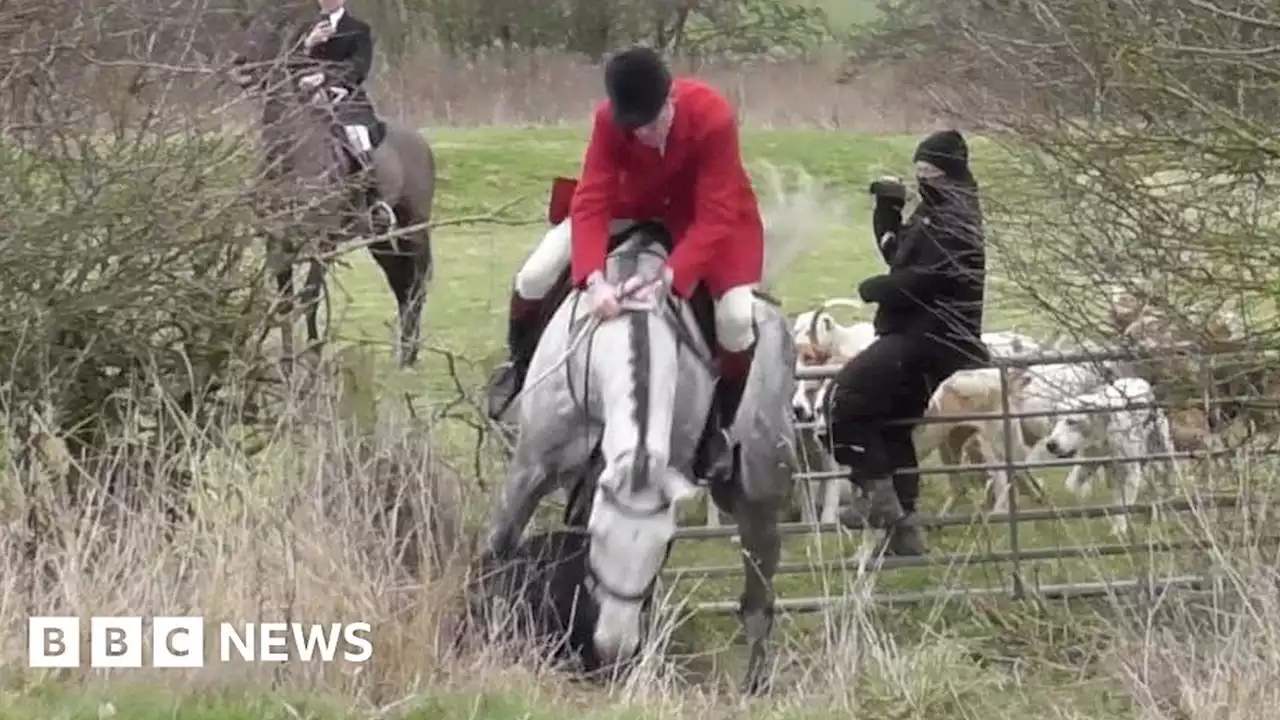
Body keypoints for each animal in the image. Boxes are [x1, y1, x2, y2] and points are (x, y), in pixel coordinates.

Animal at [227, 0, 432, 366]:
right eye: (247, 26)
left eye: (270, 33)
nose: (240, 65)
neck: (291, 157)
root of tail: (421, 142)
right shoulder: (278, 241)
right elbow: (284, 302)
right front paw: (288, 362)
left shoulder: (322, 242)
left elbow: (310, 296)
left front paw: (313, 358)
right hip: (381, 240)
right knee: (401, 285)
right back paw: (404, 355)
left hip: (414, 230)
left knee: (417, 286)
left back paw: (409, 358)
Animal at [481, 206, 808, 691]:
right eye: (596, 536)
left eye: (664, 546)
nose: (614, 649)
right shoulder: (530, 469)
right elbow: (499, 548)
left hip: (760, 492)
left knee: (757, 596)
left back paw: (752, 682)